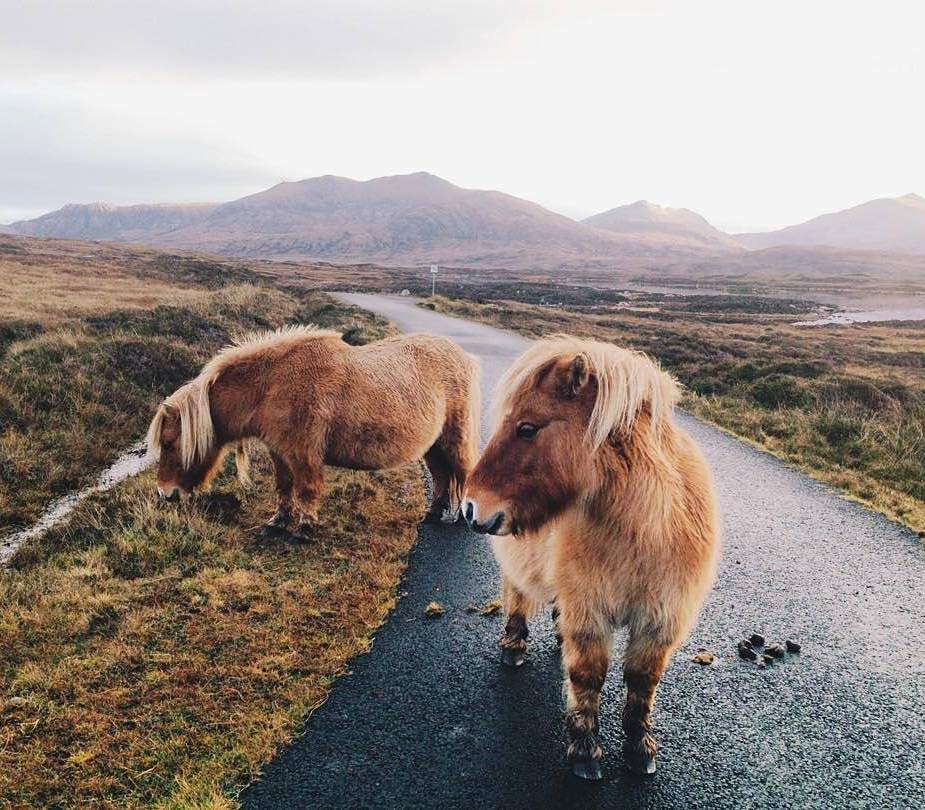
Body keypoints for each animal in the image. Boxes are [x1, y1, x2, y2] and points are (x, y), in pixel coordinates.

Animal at [148, 322, 480, 536]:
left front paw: (305, 526)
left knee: (463, 470)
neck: (272, 385)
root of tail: (464, 355)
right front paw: (278, 521)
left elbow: (306, 487)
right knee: (441, 475)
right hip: (433, 445)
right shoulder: (279, 451)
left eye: (169, 443)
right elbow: (283, 486)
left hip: (454, 437)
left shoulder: (303, 453)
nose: (165, 494)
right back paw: (433, 513)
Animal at [466, 332, 720, 776]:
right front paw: (585, 749)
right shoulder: (590, 613)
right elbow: (588, 676)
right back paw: (513, 647)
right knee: (516, 597)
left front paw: (640, 748)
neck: (642, 532)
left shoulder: (660, 620)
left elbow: (642, 681)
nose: (470, 506)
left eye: (528, 428)